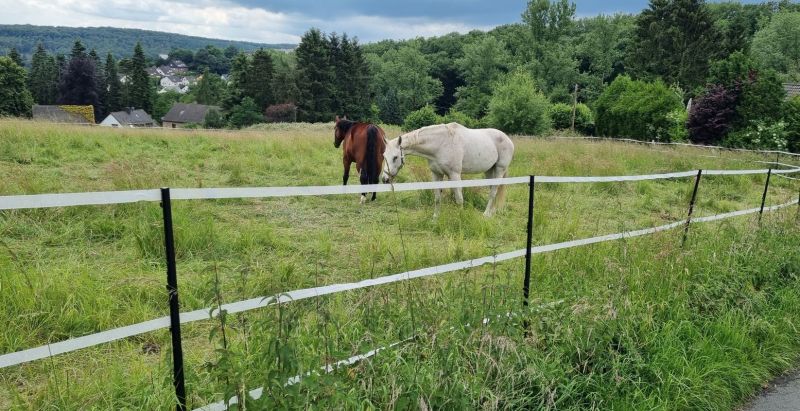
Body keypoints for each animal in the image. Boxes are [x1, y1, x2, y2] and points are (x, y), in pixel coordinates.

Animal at [380, 122, 512, 219]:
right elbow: (437, 198)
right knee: (493, 190)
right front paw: (435, 218)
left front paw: (460, 218)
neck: (441, 144)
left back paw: (486, 214)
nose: (385, 179)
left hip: (499, 169)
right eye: (384, 155)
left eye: (395, 157)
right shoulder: (436, 174)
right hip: (489, 171)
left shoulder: (455, 175)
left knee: (493, 192)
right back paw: (491, 213)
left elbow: (459, 199)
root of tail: (507, 139)